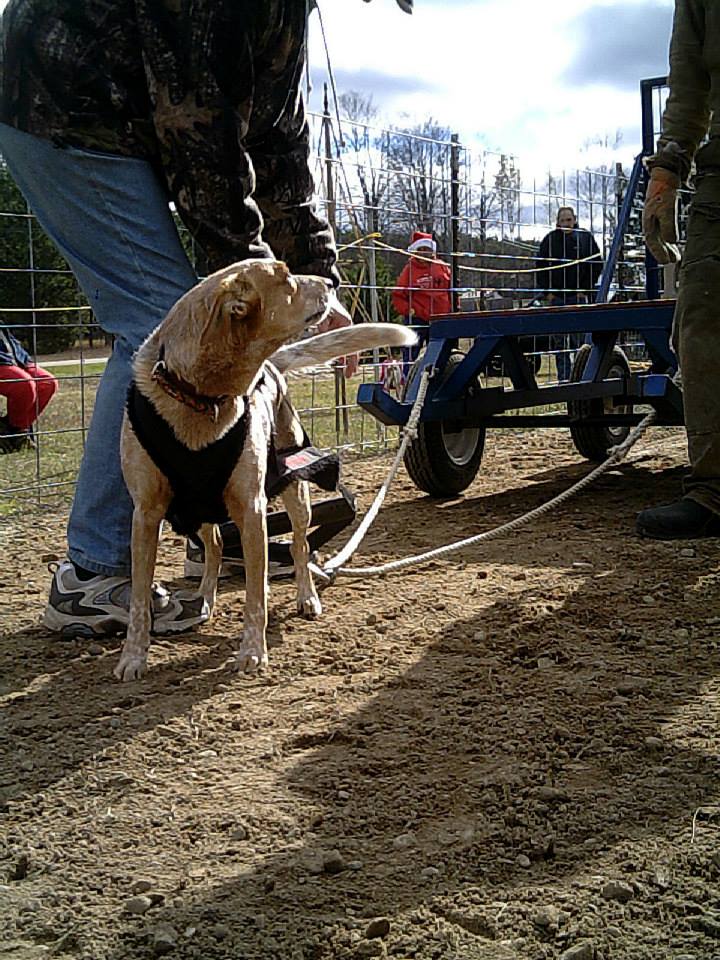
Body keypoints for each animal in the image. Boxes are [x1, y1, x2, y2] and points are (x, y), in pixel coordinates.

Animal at [113, 258, 416, 688]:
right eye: (286, 279)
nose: (330, 282)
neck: (200, 397)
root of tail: (273, 366)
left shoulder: (252, 509)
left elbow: (257, 594)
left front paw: (253, 651)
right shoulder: (146, 515)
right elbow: (140, 598)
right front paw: (133, 657)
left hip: (295, 492)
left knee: (300, 547)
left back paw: (307, 596)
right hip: (201, 508)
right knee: (215, 548)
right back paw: (204, 600)